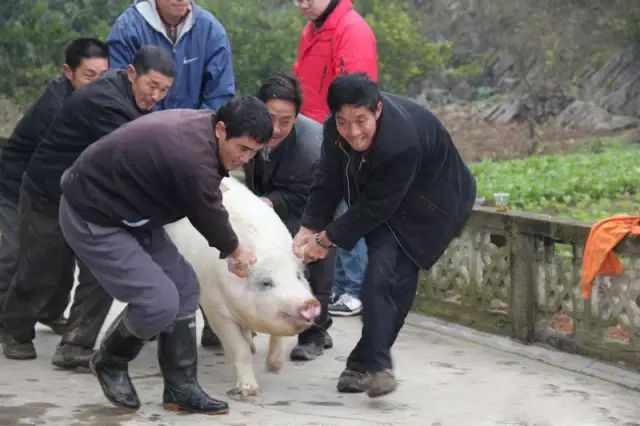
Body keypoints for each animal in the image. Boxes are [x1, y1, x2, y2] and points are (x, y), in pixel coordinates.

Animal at [165, 176, 320, 400]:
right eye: (266, 282)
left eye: (298, 276)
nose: (309, 303)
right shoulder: (216, 309)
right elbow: (239, 350)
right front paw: (249, 392)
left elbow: (278, 338)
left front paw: (274, 368)